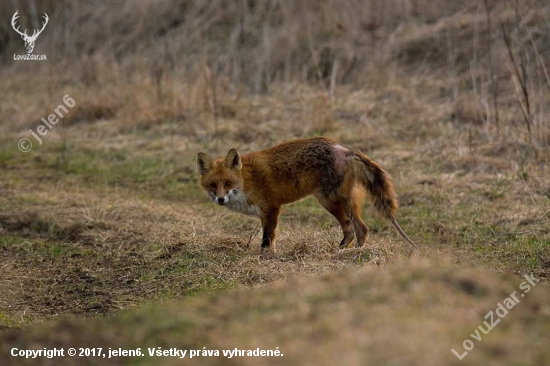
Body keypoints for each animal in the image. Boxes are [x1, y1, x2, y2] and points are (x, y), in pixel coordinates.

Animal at [196, 137, 416, 252]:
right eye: (213, 185)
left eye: (228, 183)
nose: (221, 199)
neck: (247, 181)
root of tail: (344, 149)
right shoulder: (265, 213)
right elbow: (269, 238)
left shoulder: (271, 208)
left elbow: (267, 239)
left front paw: (265, 257)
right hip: (340, 201)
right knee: (356, 228)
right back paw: (348, 252)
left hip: (330, 200)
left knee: (357, 228)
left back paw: (352, 253)